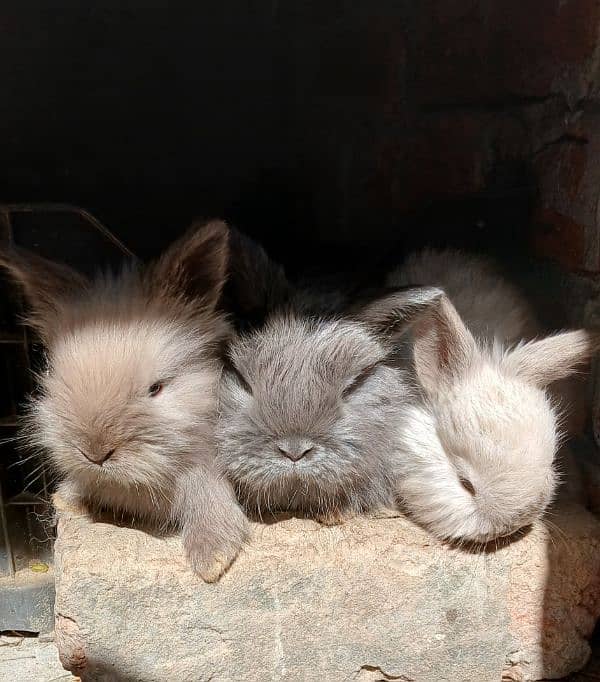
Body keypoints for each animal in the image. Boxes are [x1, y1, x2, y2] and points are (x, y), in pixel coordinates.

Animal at [0, 220, 248, 580]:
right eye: (52, 373)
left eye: (156, 388)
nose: (95, 454)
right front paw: (67, 499)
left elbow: (206, 494)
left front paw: (212, 558)